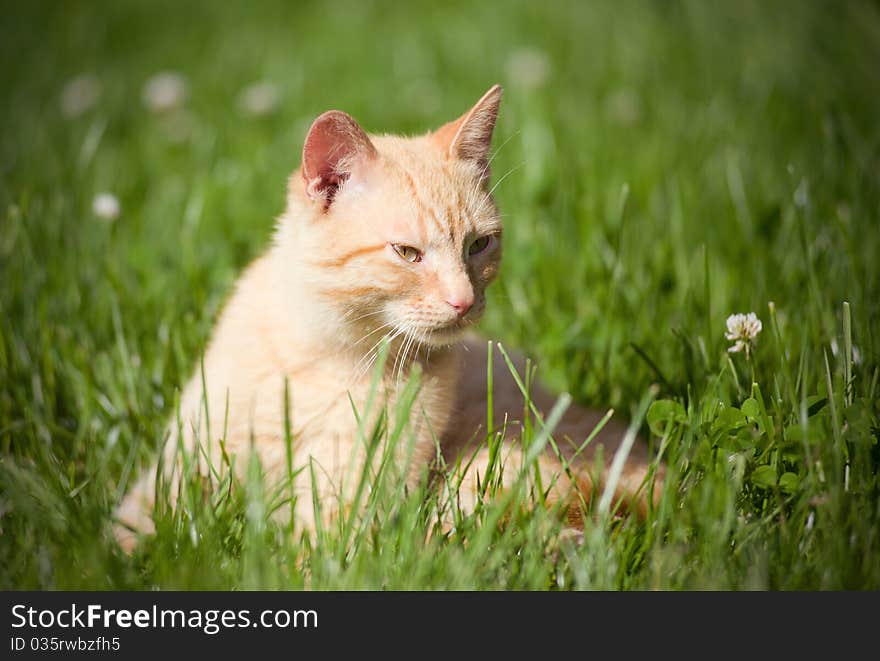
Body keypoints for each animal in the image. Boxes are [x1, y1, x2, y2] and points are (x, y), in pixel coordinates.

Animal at [113, 85, 656, 548]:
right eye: (407, 253)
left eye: (479, 245)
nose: (464, 300)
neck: (317, 355)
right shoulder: (180, 464)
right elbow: (133, 525)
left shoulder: (351, 501)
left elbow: (317, 556)